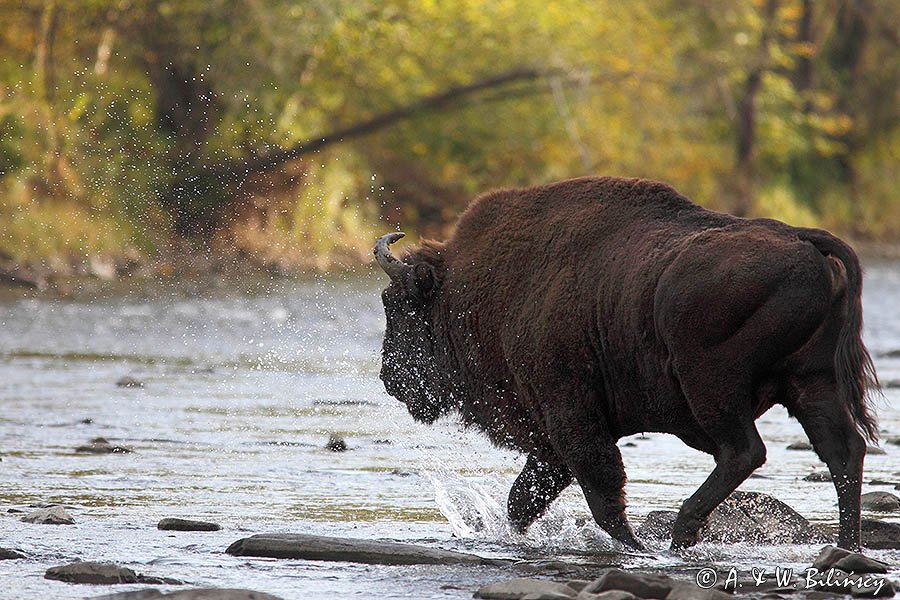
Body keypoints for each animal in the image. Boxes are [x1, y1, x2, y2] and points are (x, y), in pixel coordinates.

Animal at [374, 176, 880, 552]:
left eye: (398, 305)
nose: (390, 379)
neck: (478, 291)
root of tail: (802, 239)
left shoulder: (571, 415)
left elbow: (602, 493)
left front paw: (635, 547)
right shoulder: (553, 437)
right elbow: (524, 499)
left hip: (711, 384)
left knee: (745, 451)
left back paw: (682, 532)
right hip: (811, 383)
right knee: (843, 451)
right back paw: (846, 547)